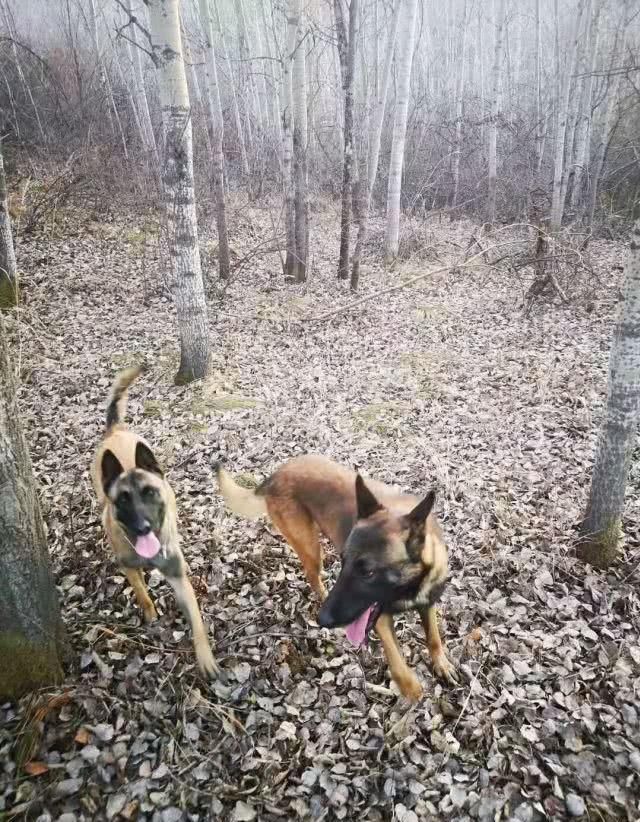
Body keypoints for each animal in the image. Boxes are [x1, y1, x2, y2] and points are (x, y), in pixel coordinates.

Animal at [91, 364, 219, 680]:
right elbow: (140, 590)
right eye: (123, 500)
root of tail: (116, 430)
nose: (143, 528)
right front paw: (149, 612)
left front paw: (205, 657)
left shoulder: (179, 580)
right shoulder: (127, 565)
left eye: (149, 493)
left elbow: (197, 622)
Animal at [218, 458, 458, 700]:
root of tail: (276, 474)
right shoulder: (379, 618)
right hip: (310, 547)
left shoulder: (427, 603)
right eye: (344, 562)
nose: (323, 618)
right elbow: (398, 664)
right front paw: (411, 689)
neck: (409, 586)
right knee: (312, 575)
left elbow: (434, 637)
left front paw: (441, 663)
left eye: (368, 573)